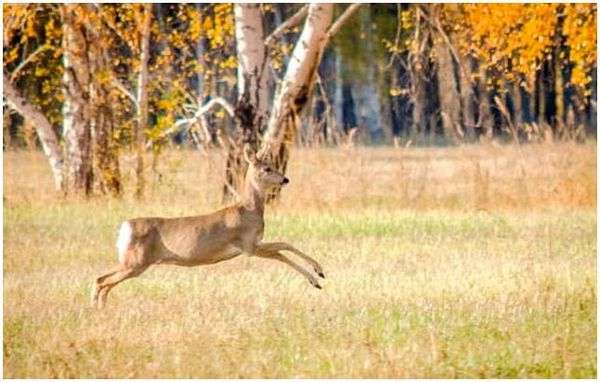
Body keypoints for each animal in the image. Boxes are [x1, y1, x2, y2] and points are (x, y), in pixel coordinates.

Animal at [90, 145, 324, 308]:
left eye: (274, 165)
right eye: (267, 168)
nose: (285, 179)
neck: (249, 210)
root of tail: (125, 227)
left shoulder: (252, 245)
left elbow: (284, 247)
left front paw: (318, 273)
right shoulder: (248, 245)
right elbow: (282, 249)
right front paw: (317, 277)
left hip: (130, 261)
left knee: (101, 279)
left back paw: (100, 309)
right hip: (136, 262)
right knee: (103, 281)